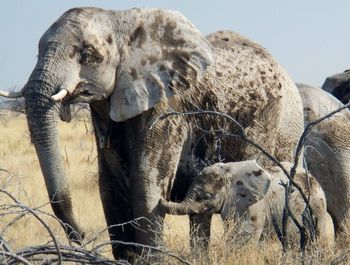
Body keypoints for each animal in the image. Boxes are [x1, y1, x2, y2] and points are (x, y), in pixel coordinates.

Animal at [0, 7, 304, 258]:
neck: (121, 21)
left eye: (87, 55)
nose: (82, 236)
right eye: (37, 52)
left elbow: (145, 184)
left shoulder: (168, 108)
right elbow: (110, 187)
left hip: (277, 125)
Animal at [159, 159, 334, 248]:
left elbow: (245, 233)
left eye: (207, 195)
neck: (229, 171)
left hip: (311, 204)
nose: (160, 198)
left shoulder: (253, 204)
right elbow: (201, 226)